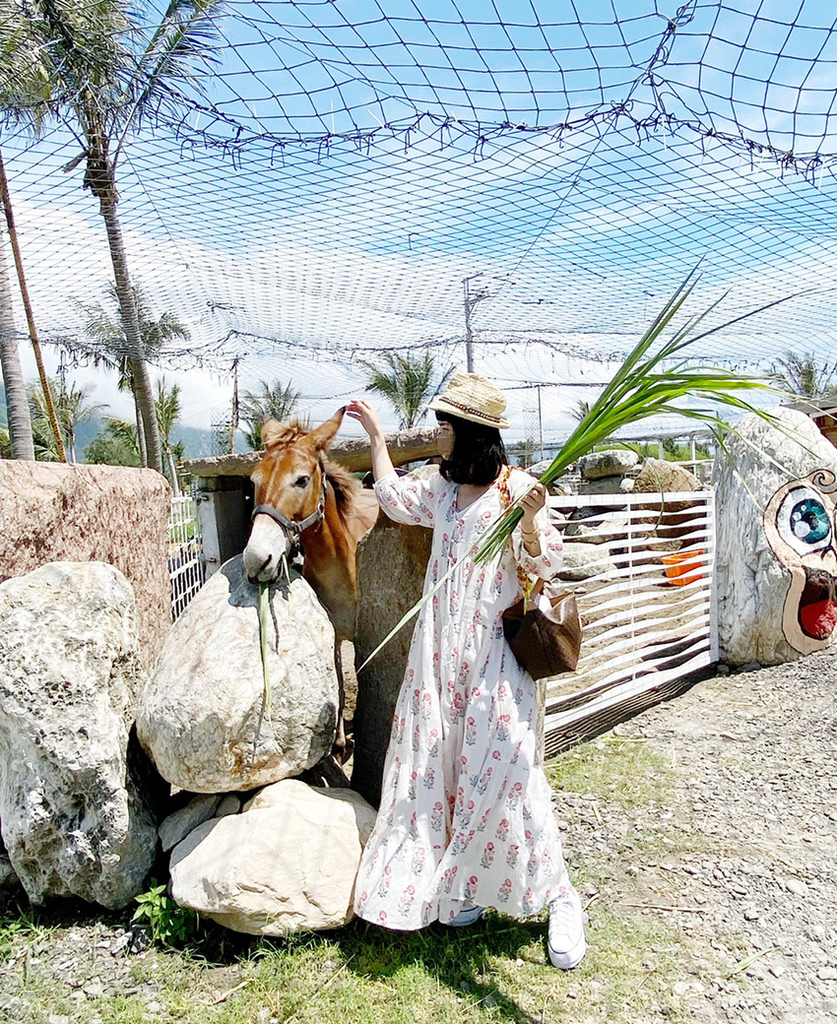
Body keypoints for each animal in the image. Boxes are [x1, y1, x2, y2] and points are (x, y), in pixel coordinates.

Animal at [241, 407, 379, 745]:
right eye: (253, 481)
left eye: (301, 479)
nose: (256, 560)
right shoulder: (332, 634)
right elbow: (338, 680)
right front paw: (338, 739)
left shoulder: (365, 638)